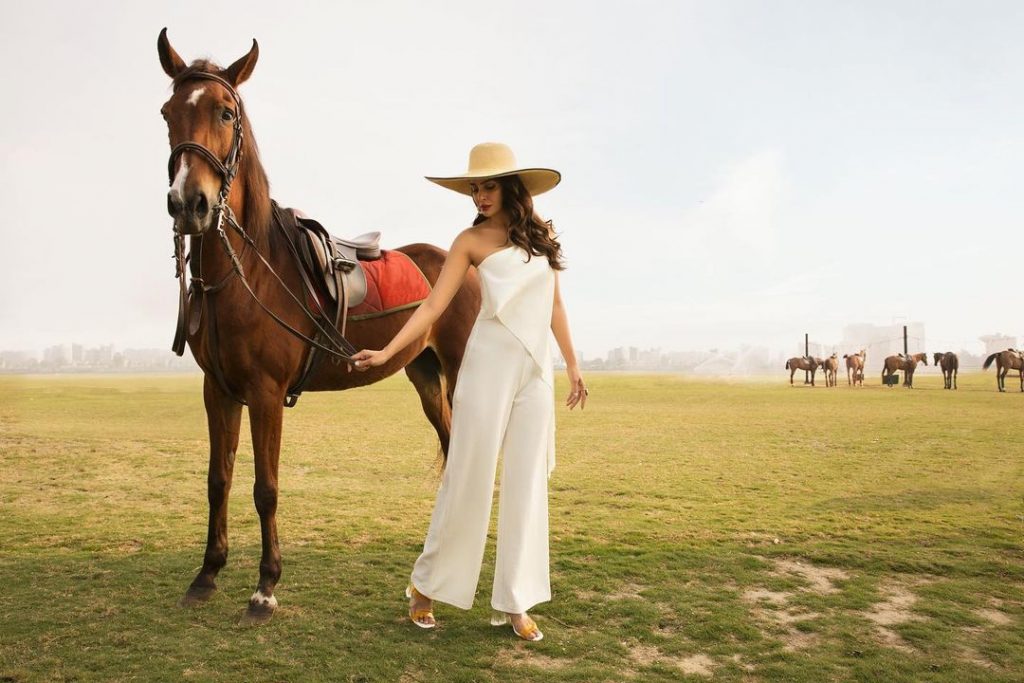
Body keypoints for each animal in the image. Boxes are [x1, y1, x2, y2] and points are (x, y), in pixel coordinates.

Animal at [157, 29, 481, 622]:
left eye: (225, 112)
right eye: (168, 112)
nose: (189, 204)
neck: (250, 271)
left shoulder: (265, 393)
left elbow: (264, 488)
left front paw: (265, 587)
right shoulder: (219, 390)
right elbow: (219, 479)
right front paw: (207, 573)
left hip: (462, 368)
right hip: (425, 375)